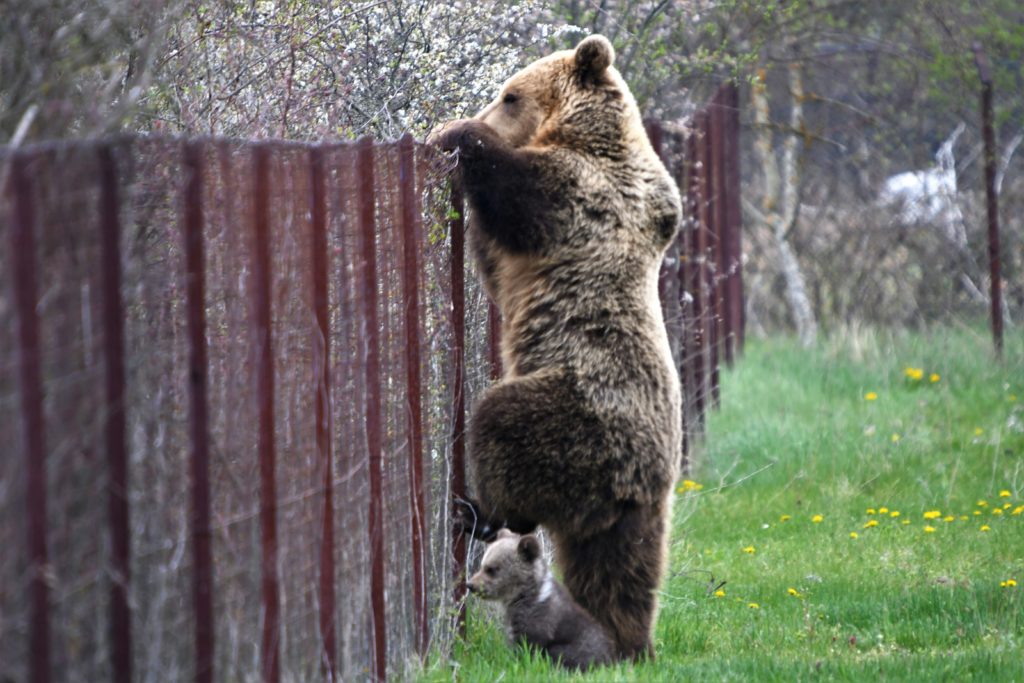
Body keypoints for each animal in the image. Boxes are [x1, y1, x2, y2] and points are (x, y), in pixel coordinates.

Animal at [468, 528, 610, 671]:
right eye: (482, 565)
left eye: (491, 569)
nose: (470, 585)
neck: (522, 597)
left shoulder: (538, 624)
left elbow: (529, 648)